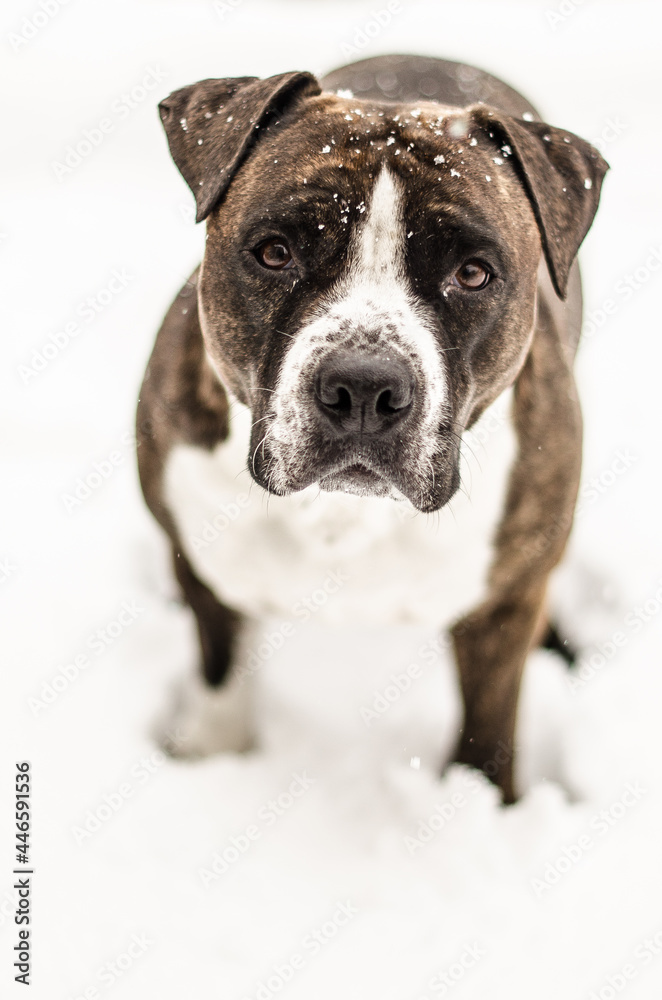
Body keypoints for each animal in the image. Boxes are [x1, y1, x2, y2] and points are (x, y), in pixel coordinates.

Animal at [137, 54, 608, 804]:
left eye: (473, 273)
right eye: (274, 253)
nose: (364, 387)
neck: (343, 515)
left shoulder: (500, 613)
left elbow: (490, 730)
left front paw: (479, 804)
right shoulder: (203, 564)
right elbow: (221, 671)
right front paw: (214, 755)